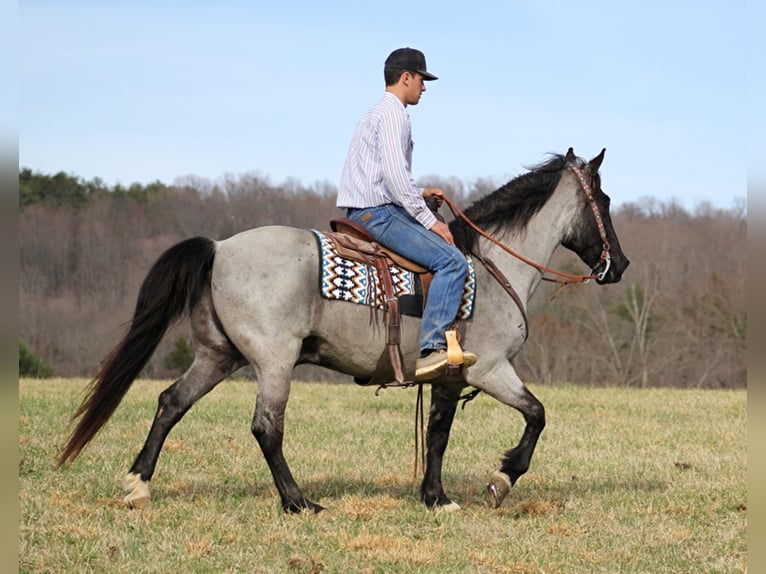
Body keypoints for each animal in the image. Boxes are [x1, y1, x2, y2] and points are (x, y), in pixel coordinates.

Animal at [58, 147, 632, 512]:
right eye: (604, 202)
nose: (619, 265)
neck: (489, 268)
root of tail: (219, 247)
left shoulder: (449, 379)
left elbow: (438, 435)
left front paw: (436, 498)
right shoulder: (490, 369)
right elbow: (537, 415)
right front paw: (501, 480)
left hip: (218, 356)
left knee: (171, 403)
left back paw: (138, 485)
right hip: (274, 361)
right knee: (266, 428)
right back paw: (298, 502)